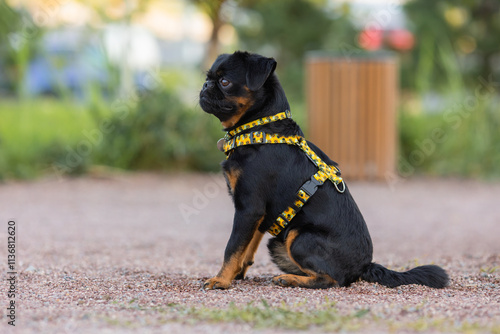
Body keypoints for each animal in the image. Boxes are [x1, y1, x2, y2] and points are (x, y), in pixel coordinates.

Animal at [199, 50, 450, 290]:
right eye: (208, 78)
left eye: (224, 82)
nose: (205, 86)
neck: (260, 129)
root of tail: (365, 266)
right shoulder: (257, 214)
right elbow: (247, 247)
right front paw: (236, 274)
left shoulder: (248, 208)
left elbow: (232, 247)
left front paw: (221, 280)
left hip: (299, 236)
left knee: (330, 280)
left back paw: (290, 279)